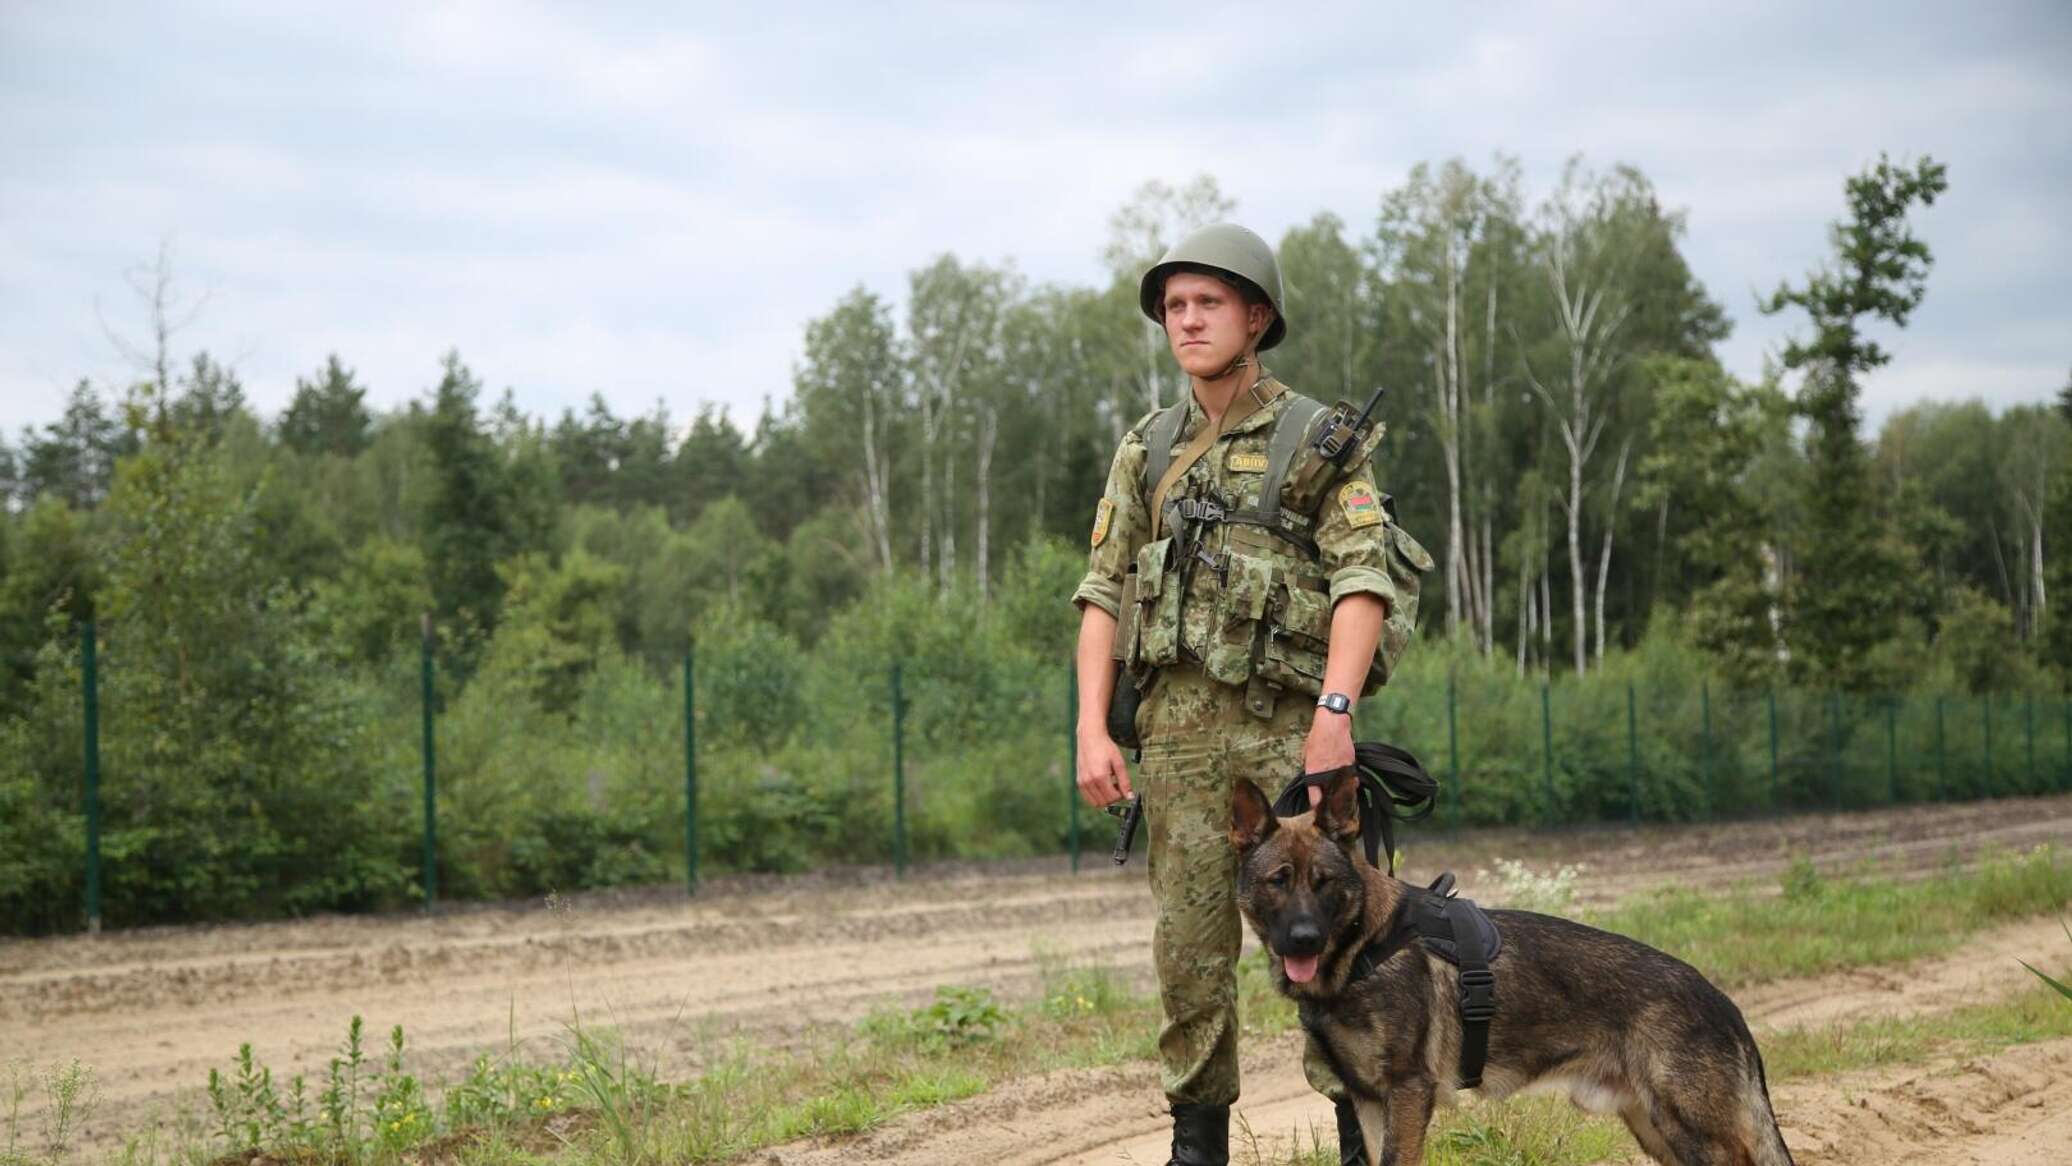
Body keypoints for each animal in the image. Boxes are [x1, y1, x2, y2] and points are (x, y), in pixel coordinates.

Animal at [1226, 774, 1798, 1166]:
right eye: (1279, 881)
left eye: (1323, 882)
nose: (1304, 940)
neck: (1366, 944)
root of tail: (1723, 1001)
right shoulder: (1369, 1103)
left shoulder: (1408, 1094)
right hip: (1656, 1129)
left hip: (1695, 1133)